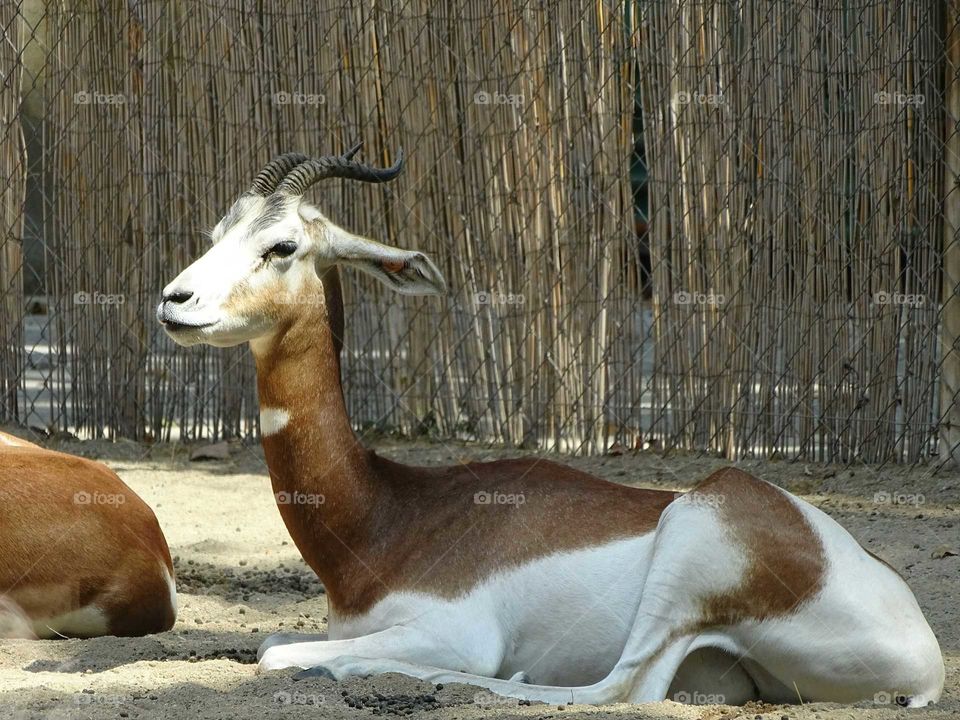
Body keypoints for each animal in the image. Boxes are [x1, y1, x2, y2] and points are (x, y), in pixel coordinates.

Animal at [156, 144, 944, 707]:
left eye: (283, 245)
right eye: (219, 231)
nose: (174, 300)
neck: (384, 518)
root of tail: (926, 655)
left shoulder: (453, 630)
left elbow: (275, 652)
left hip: (693, 534)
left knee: (615, 689)